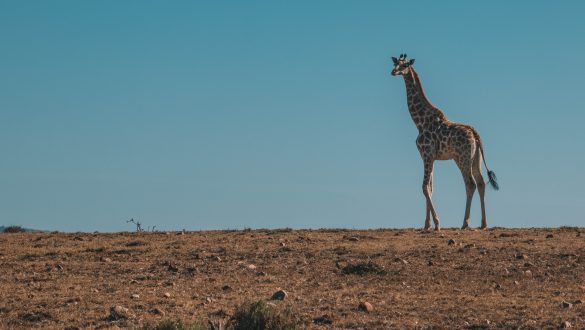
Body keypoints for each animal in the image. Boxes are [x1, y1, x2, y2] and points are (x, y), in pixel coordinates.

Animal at [392, 54, 498, 229]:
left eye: (405, 65)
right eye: (395, 63)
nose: (393, 72)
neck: (419, 122)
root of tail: (475, 134)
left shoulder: (427, 154)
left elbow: (424, 187)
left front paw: (436, 223)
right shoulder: (429, 157)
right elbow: (430, 187)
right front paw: (427, 224)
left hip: (461, 158)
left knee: (470, 184)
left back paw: (465, 223)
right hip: (476, 158)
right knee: (481, 183)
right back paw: (483, 224)